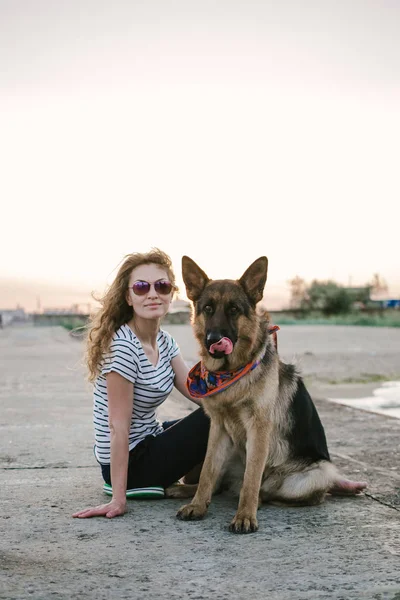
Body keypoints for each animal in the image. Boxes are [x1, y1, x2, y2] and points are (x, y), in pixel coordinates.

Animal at [170, 258, 368, 536]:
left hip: (317, 473)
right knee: (219, 484)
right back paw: (183, 490)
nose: (213, 340)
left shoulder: (258, 429)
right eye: (208, 308)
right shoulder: (218, 429)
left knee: (277, 491)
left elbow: (251, 478)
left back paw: (261, 499)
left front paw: (245, 516)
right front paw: (198, 505)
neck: (233, 372)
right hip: (231, 452)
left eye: (234, 309)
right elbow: (208, 472)